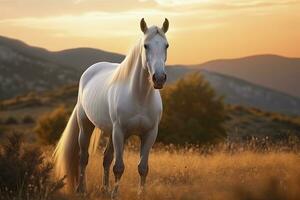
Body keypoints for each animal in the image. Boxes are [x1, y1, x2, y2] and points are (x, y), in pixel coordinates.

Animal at [53, 18, 169, 198]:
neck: (140, 97)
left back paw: (105, 189)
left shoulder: (149, 134)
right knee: (83, 157)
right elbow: (119, 167)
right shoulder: (119, 131)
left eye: (166, 45)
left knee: (106, 158)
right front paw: (115, 195)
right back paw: (81, 189)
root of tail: (90, 71)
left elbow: (143, 168)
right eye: (145, 45)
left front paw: (140, 194)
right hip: (86, 126)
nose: (159, 78)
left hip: (112, 133)